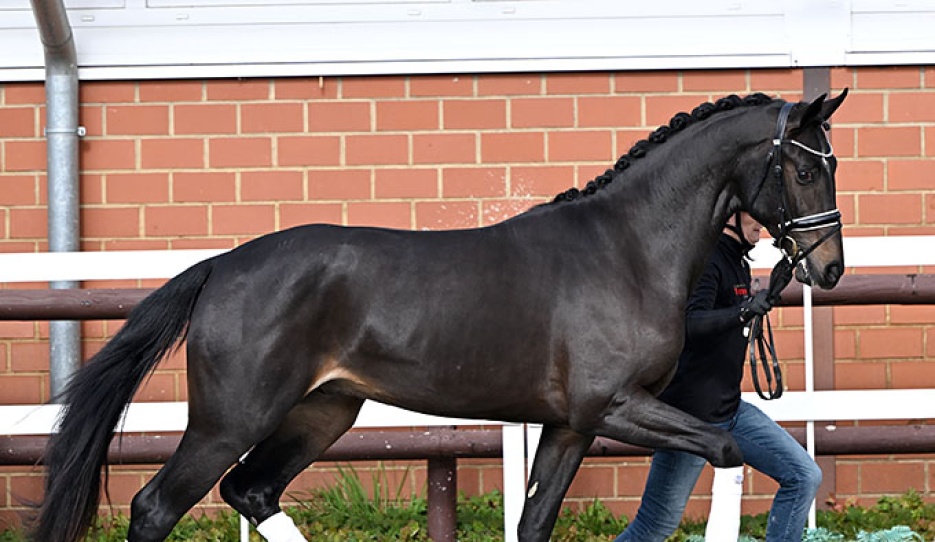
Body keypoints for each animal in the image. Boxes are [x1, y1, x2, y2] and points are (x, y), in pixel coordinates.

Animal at [33, 89, 847, 542]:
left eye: (829, 165)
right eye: (804, 168)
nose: (828, 268)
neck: (624, 248)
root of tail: (220, 267)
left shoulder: (571, 424)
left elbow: (534, 522)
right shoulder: (614, 406)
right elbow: (726, 449)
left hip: (322, 412)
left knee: (251, 492)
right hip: (228, 421)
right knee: (155, 507)